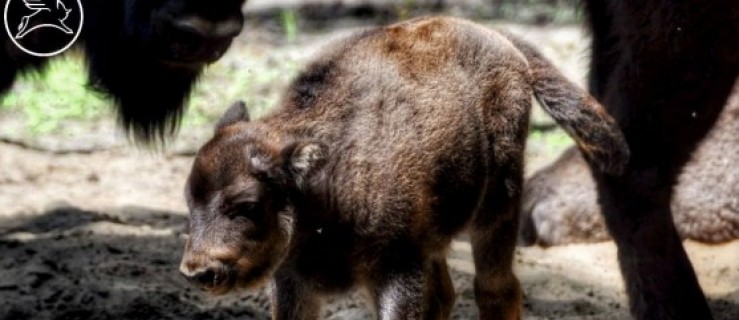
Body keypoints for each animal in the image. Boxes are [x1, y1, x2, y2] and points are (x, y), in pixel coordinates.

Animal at [179, 16, 632, 318]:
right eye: (189, 201)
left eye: (247, 205)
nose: (198, 271)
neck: (320, 185)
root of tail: (501, 40)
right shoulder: (292, 279)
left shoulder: (397, 267)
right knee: (447, 295)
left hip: (499, 203)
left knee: (495, 288)